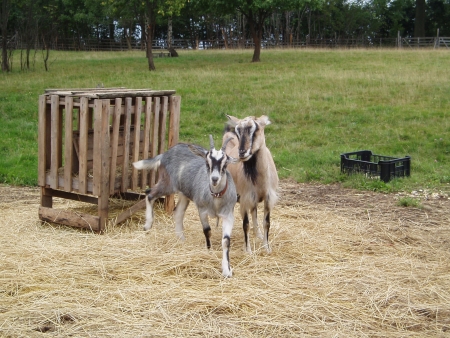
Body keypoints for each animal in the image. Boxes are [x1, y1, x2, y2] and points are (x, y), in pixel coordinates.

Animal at [133, 135, 237, 278]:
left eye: (225, 163)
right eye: (207, 163)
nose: (214, 179)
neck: (215, 198)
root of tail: (165, 154)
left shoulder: (228, 215)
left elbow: (226, 241)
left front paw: (227, 270)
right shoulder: (202, 210)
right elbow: (207, 231)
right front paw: (209, 251)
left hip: (183, 194)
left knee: (178, 213)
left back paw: (181, 239)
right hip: (168, 183)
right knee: (149, 193)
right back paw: (148, 224)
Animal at [221, 115, 278, 254]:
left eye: (255, 129)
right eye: (238, 131)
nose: (242, 152)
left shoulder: (268, 197)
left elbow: (266, 222)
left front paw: (266, 247)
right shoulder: (244, 198)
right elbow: (245, 224)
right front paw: (248, 250)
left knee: (254, 212)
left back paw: (258, 234)